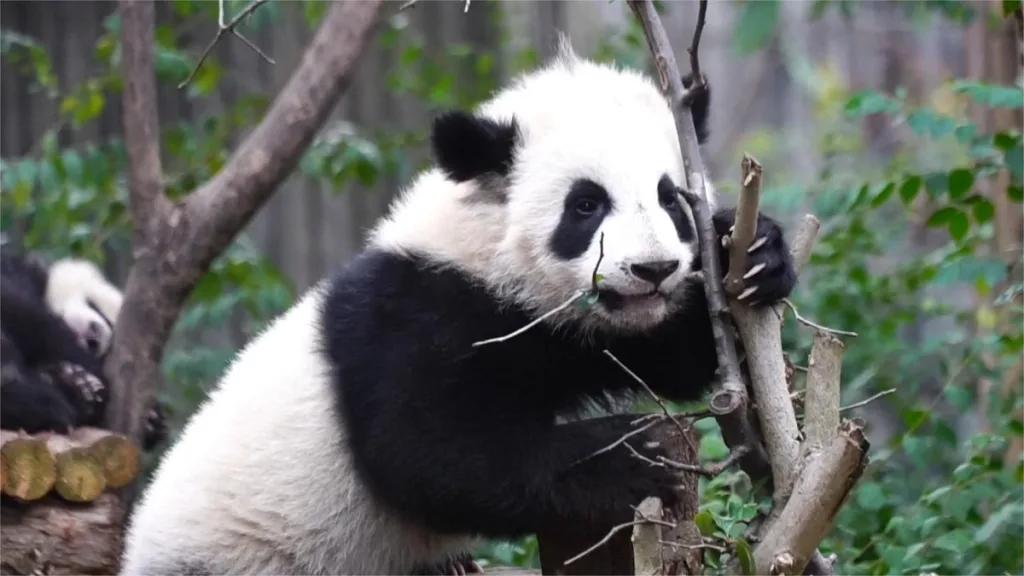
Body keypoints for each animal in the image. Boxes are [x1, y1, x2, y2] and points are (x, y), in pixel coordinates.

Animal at [120, 39, 796, 576]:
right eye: (586, 205)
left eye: (670, 198)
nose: (653, 270)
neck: (487, 258)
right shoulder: (412, 314)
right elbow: (431, 455)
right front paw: (633, 455)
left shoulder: (568, 331)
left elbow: (671, 358)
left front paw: (756, 255)